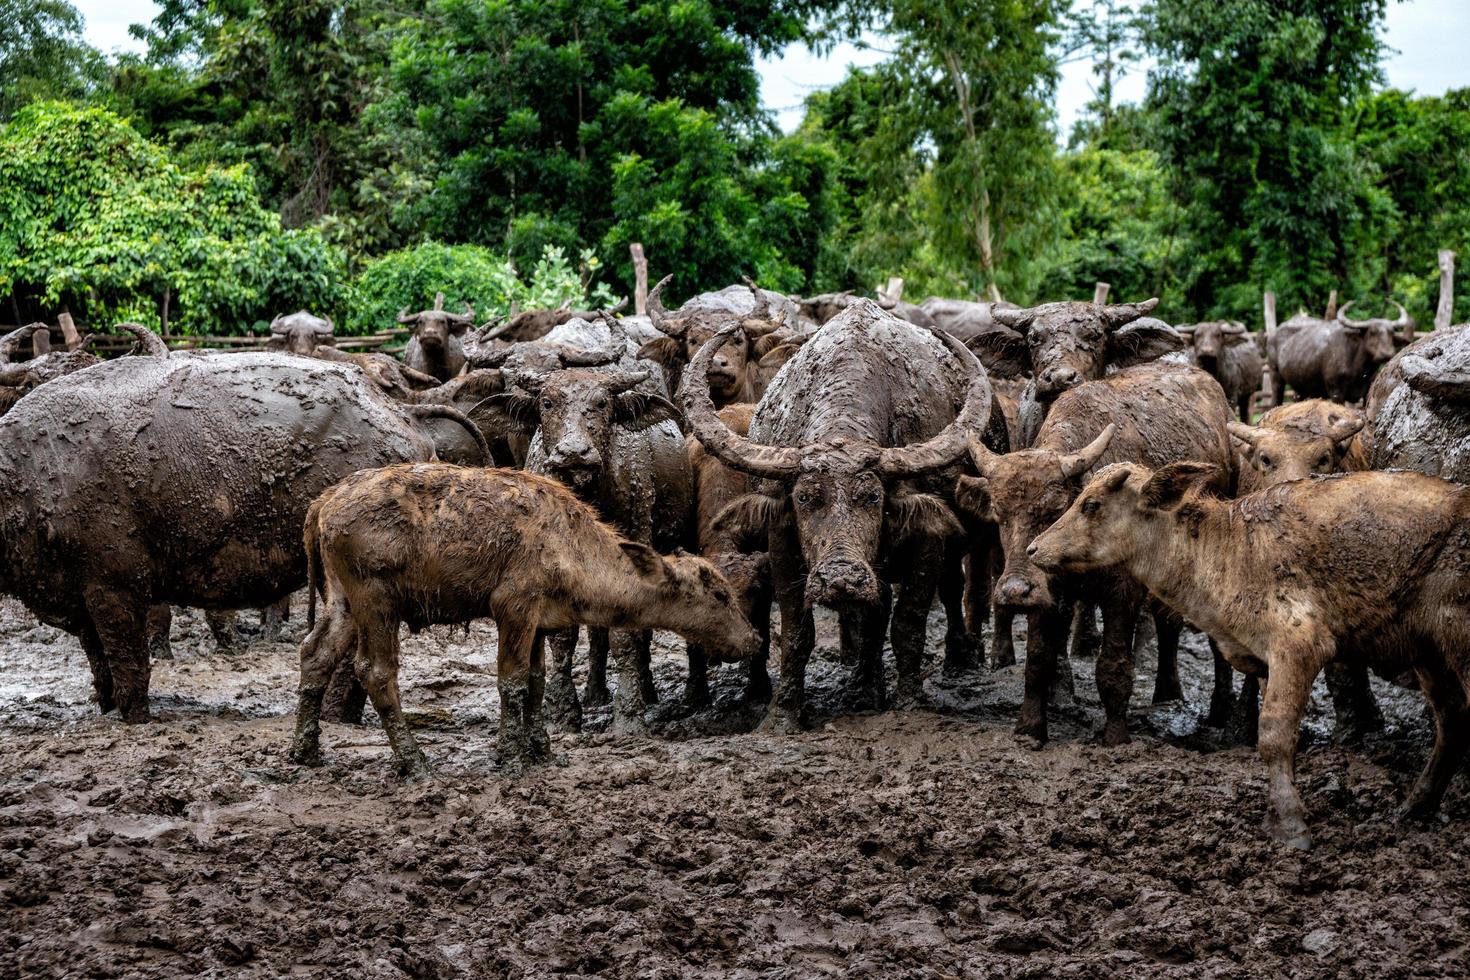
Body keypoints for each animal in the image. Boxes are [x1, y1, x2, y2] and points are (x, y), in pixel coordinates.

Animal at [2, 343, 490, 719]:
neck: (36, 469)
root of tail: (401, 414)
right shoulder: (79, 597)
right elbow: (98, 663)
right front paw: (104, 709)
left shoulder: (116, 588)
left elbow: (128, 663)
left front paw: (133, 718)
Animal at [294, 464, 764, 775]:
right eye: (719, 594)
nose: (754, 640)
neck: (570, 544)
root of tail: (324, 503)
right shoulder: (513, 608)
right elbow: (512, 681)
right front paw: (511, 756)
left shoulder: (538, 621)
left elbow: (537, 682)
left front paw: (542, 749)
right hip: (377, 603)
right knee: (375, 671)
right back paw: (416, 762)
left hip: (343, 604)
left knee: (314, 654)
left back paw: (305, 752)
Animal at [958, 362, 1234, 743]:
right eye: (1000, 514)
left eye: (1054, 508)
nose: (1015, 591)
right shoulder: (1050, 592)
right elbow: (1038, 658)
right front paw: (1029, 728)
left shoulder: (1122, 592)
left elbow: (1113, 665)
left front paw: (1115, 735)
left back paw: (1203, 705)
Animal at [1029, 467, 1470, 852]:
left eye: (1091, 504)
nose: (1034, 548)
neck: (1230, 550)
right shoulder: (1261, 661)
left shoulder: (1298, 645)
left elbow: (1274, 735)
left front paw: (1291, 827)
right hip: (1431, 656)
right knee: (1451, 722)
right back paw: (1414, 808)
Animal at [1264, 301, 1411, 405]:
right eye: (1372, 332)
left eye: (1391, 332)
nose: (1386, 353)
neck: (1358, 369)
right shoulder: (1336, 392)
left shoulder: (1367, 392)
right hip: (1275, 375)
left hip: (1301, 388)